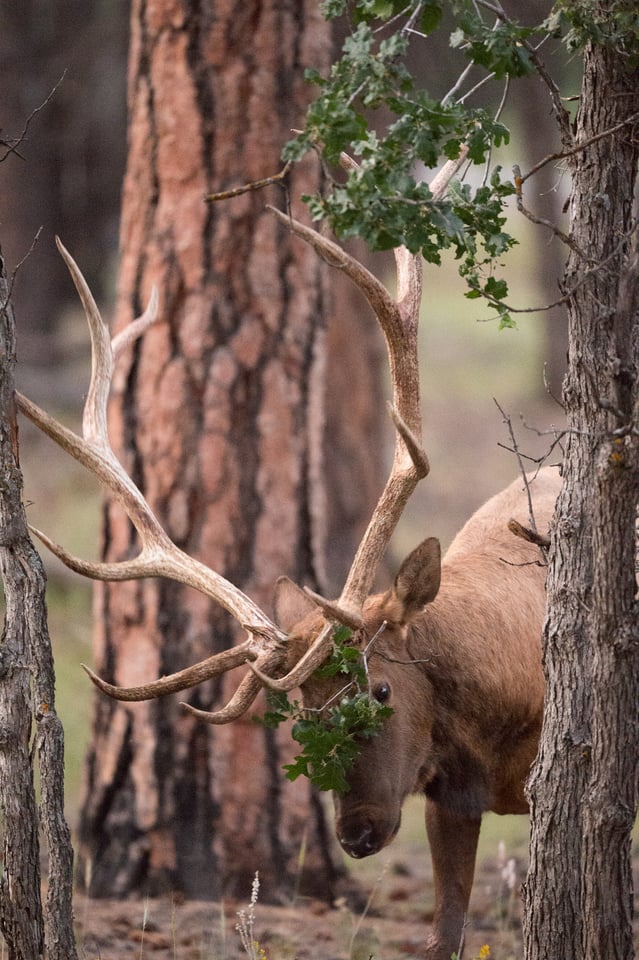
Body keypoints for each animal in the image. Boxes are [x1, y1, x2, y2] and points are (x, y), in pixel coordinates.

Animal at [16, 178, 560, 952]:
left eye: (381, 690)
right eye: (302, 707)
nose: (356, 834)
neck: (505, 702)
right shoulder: (448, 794)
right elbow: (444, 935)